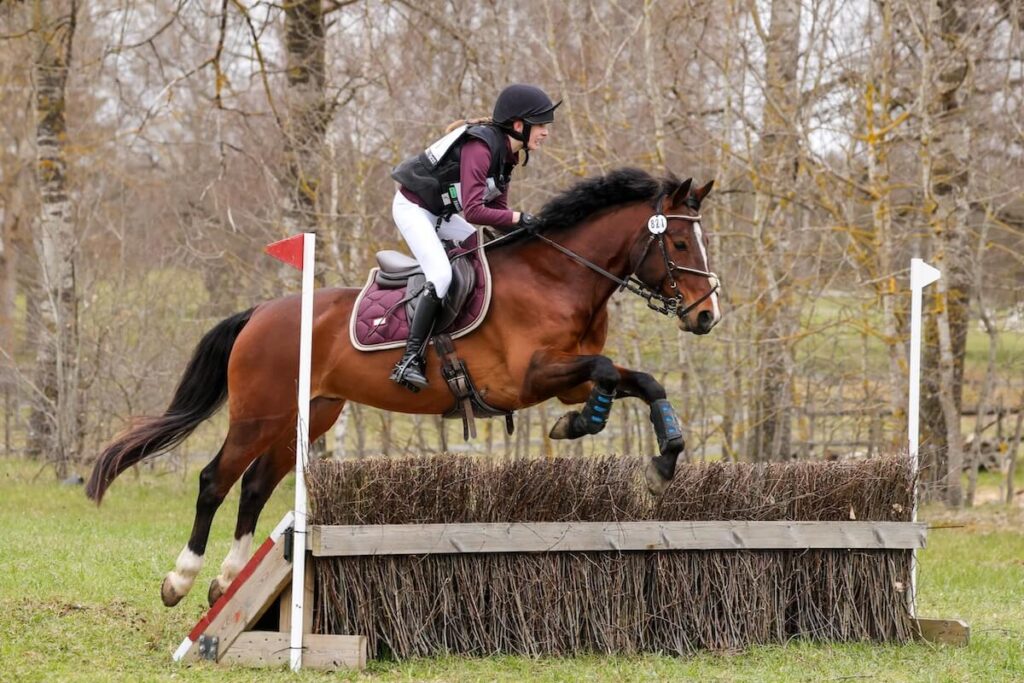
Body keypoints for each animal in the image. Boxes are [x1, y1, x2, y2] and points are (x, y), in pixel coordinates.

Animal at [85, 167, 721, 608]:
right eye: (680, 245)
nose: (706, 316)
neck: (558, 276)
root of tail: (261, 311)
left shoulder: (564, 375)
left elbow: (641, 380)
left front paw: (663, 459)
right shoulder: (528, 379)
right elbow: (610, 371)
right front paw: (581, 425)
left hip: (308, 415)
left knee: (257, 485)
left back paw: (225, 581)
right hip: (257, 414)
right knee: (216, 480)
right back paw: (181, 579)